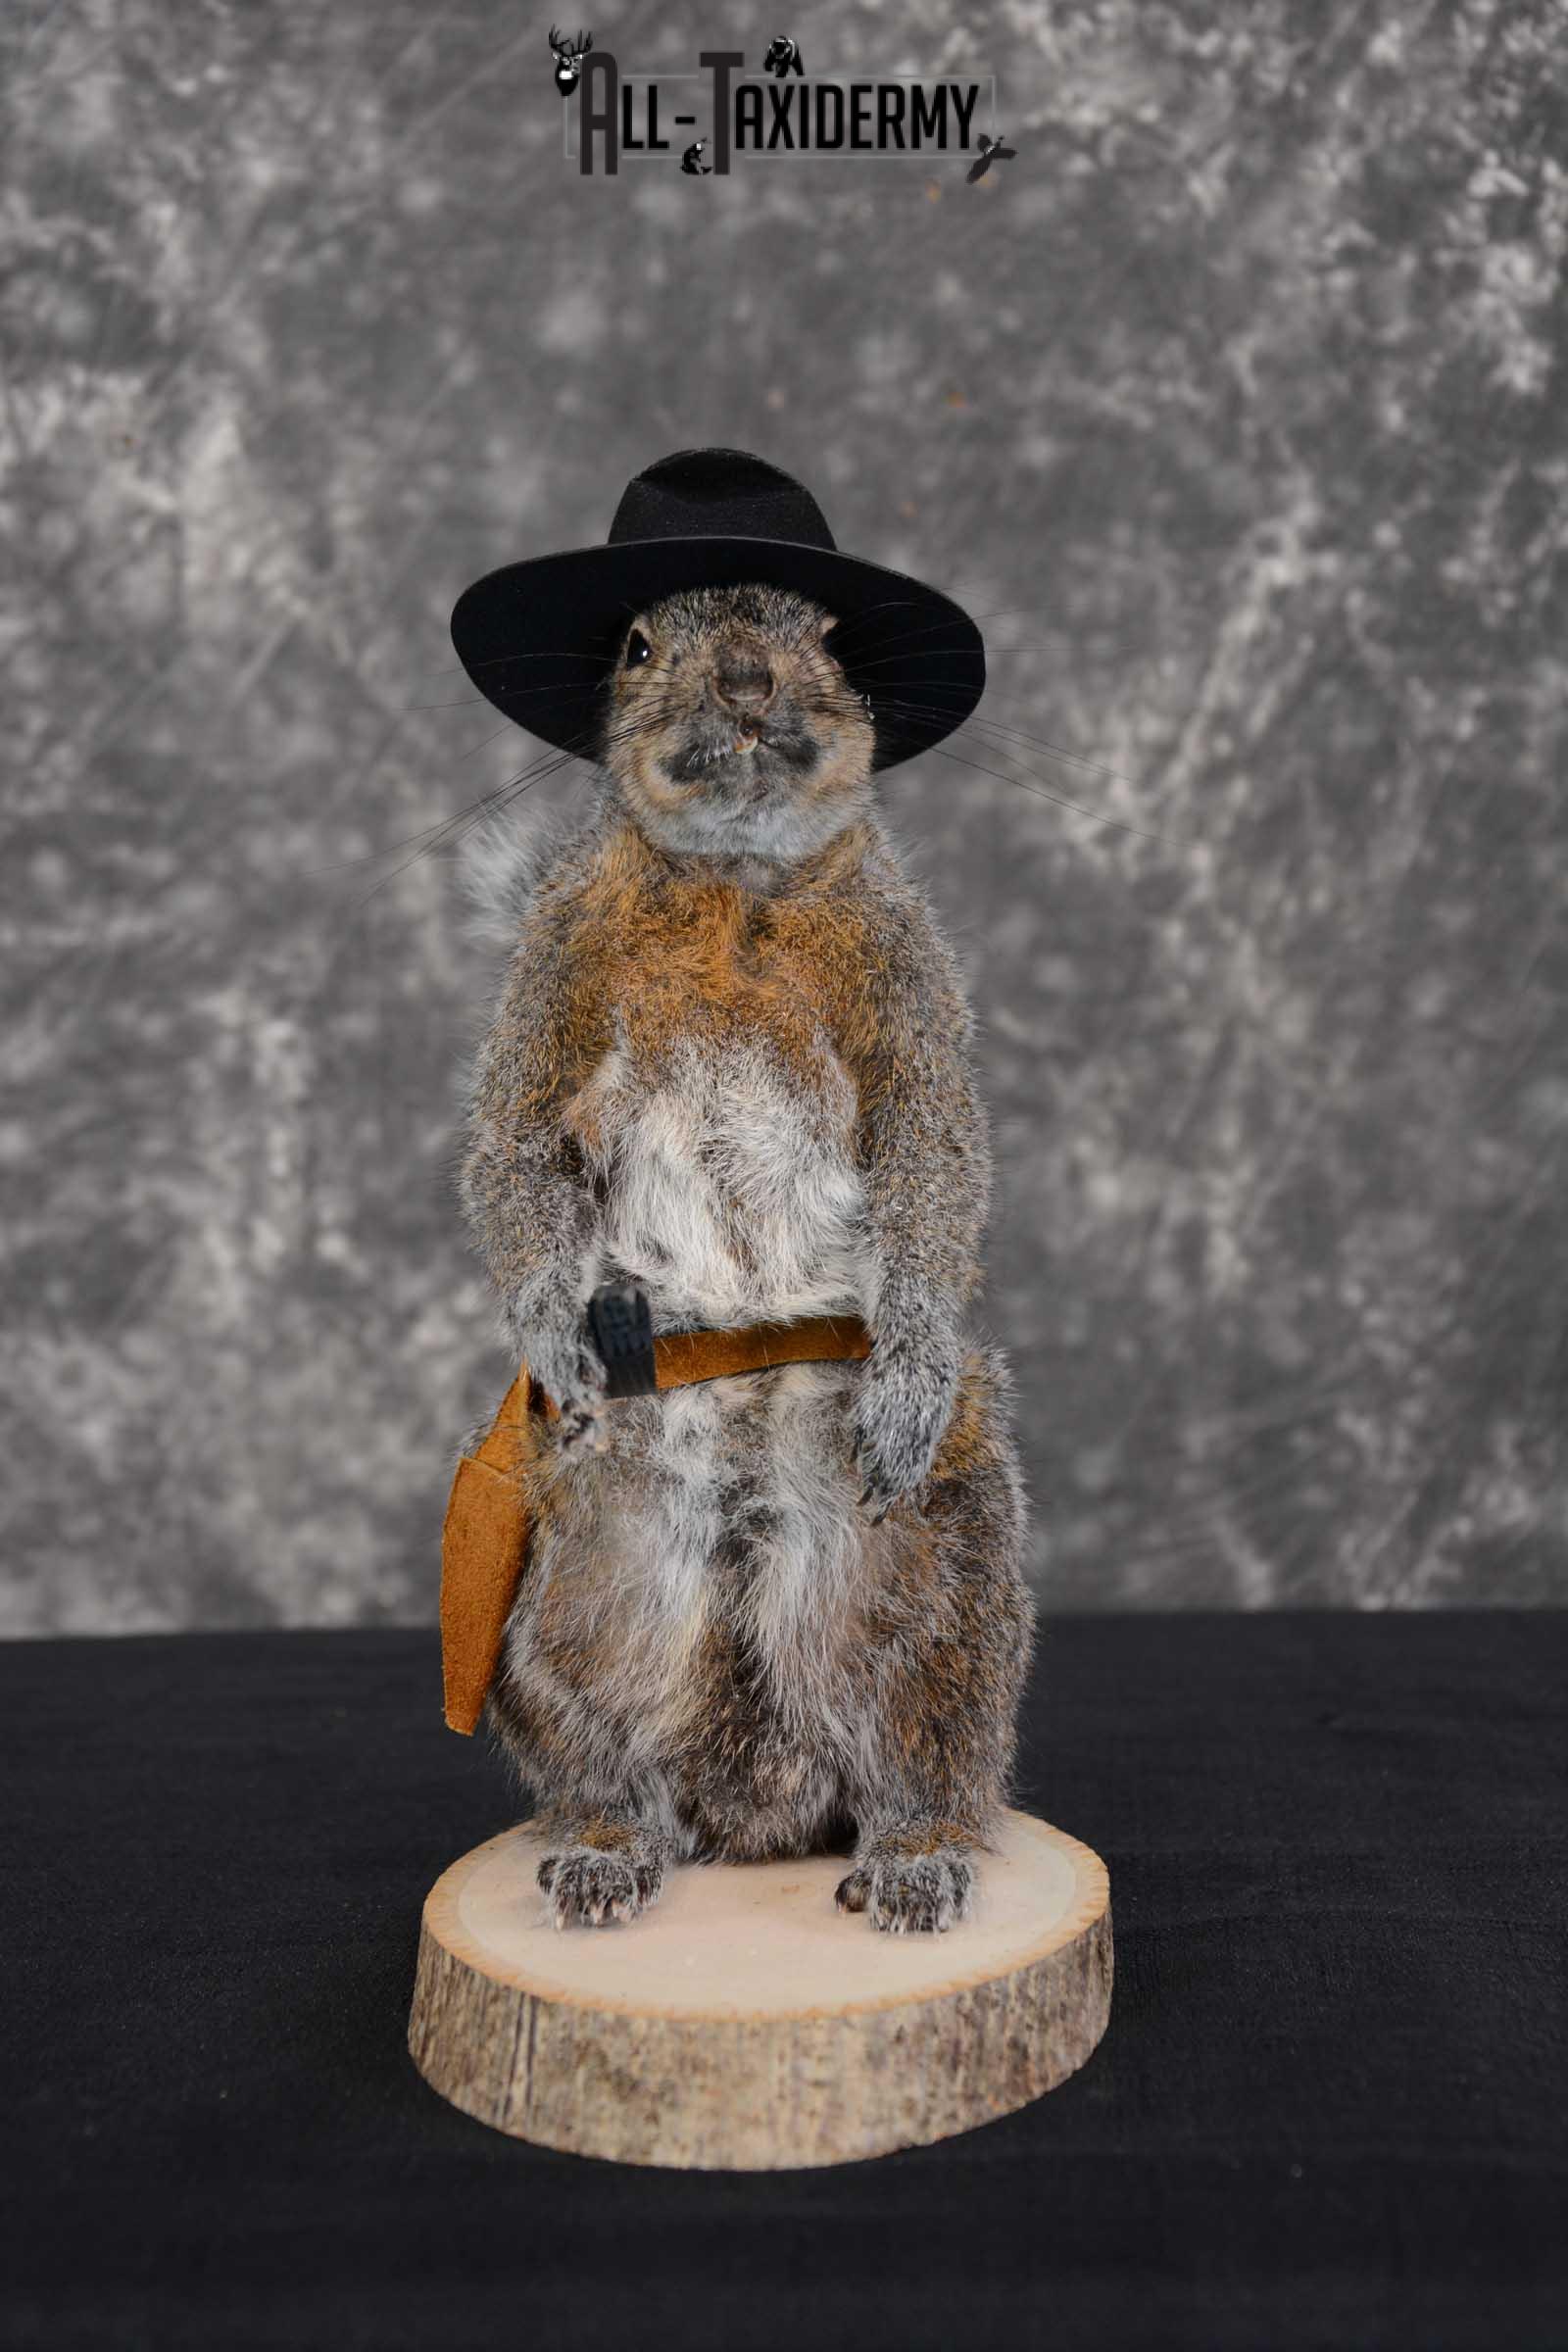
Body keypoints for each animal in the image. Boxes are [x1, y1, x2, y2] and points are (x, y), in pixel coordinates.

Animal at [457, 578, 1034, 1934]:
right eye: (636, 644)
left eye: (829, 640)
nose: (744, 684)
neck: (729, 884)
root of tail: (758, 1811)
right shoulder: (553, 974)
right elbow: (511, 1150)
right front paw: (555, 1324)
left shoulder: (904, 981)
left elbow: (937, 1155)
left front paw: (912, 1369)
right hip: (570, 1602)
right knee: (607, 1759)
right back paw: (609, 1848)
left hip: (941, 1596)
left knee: (925, 1755)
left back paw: (914, 1854)